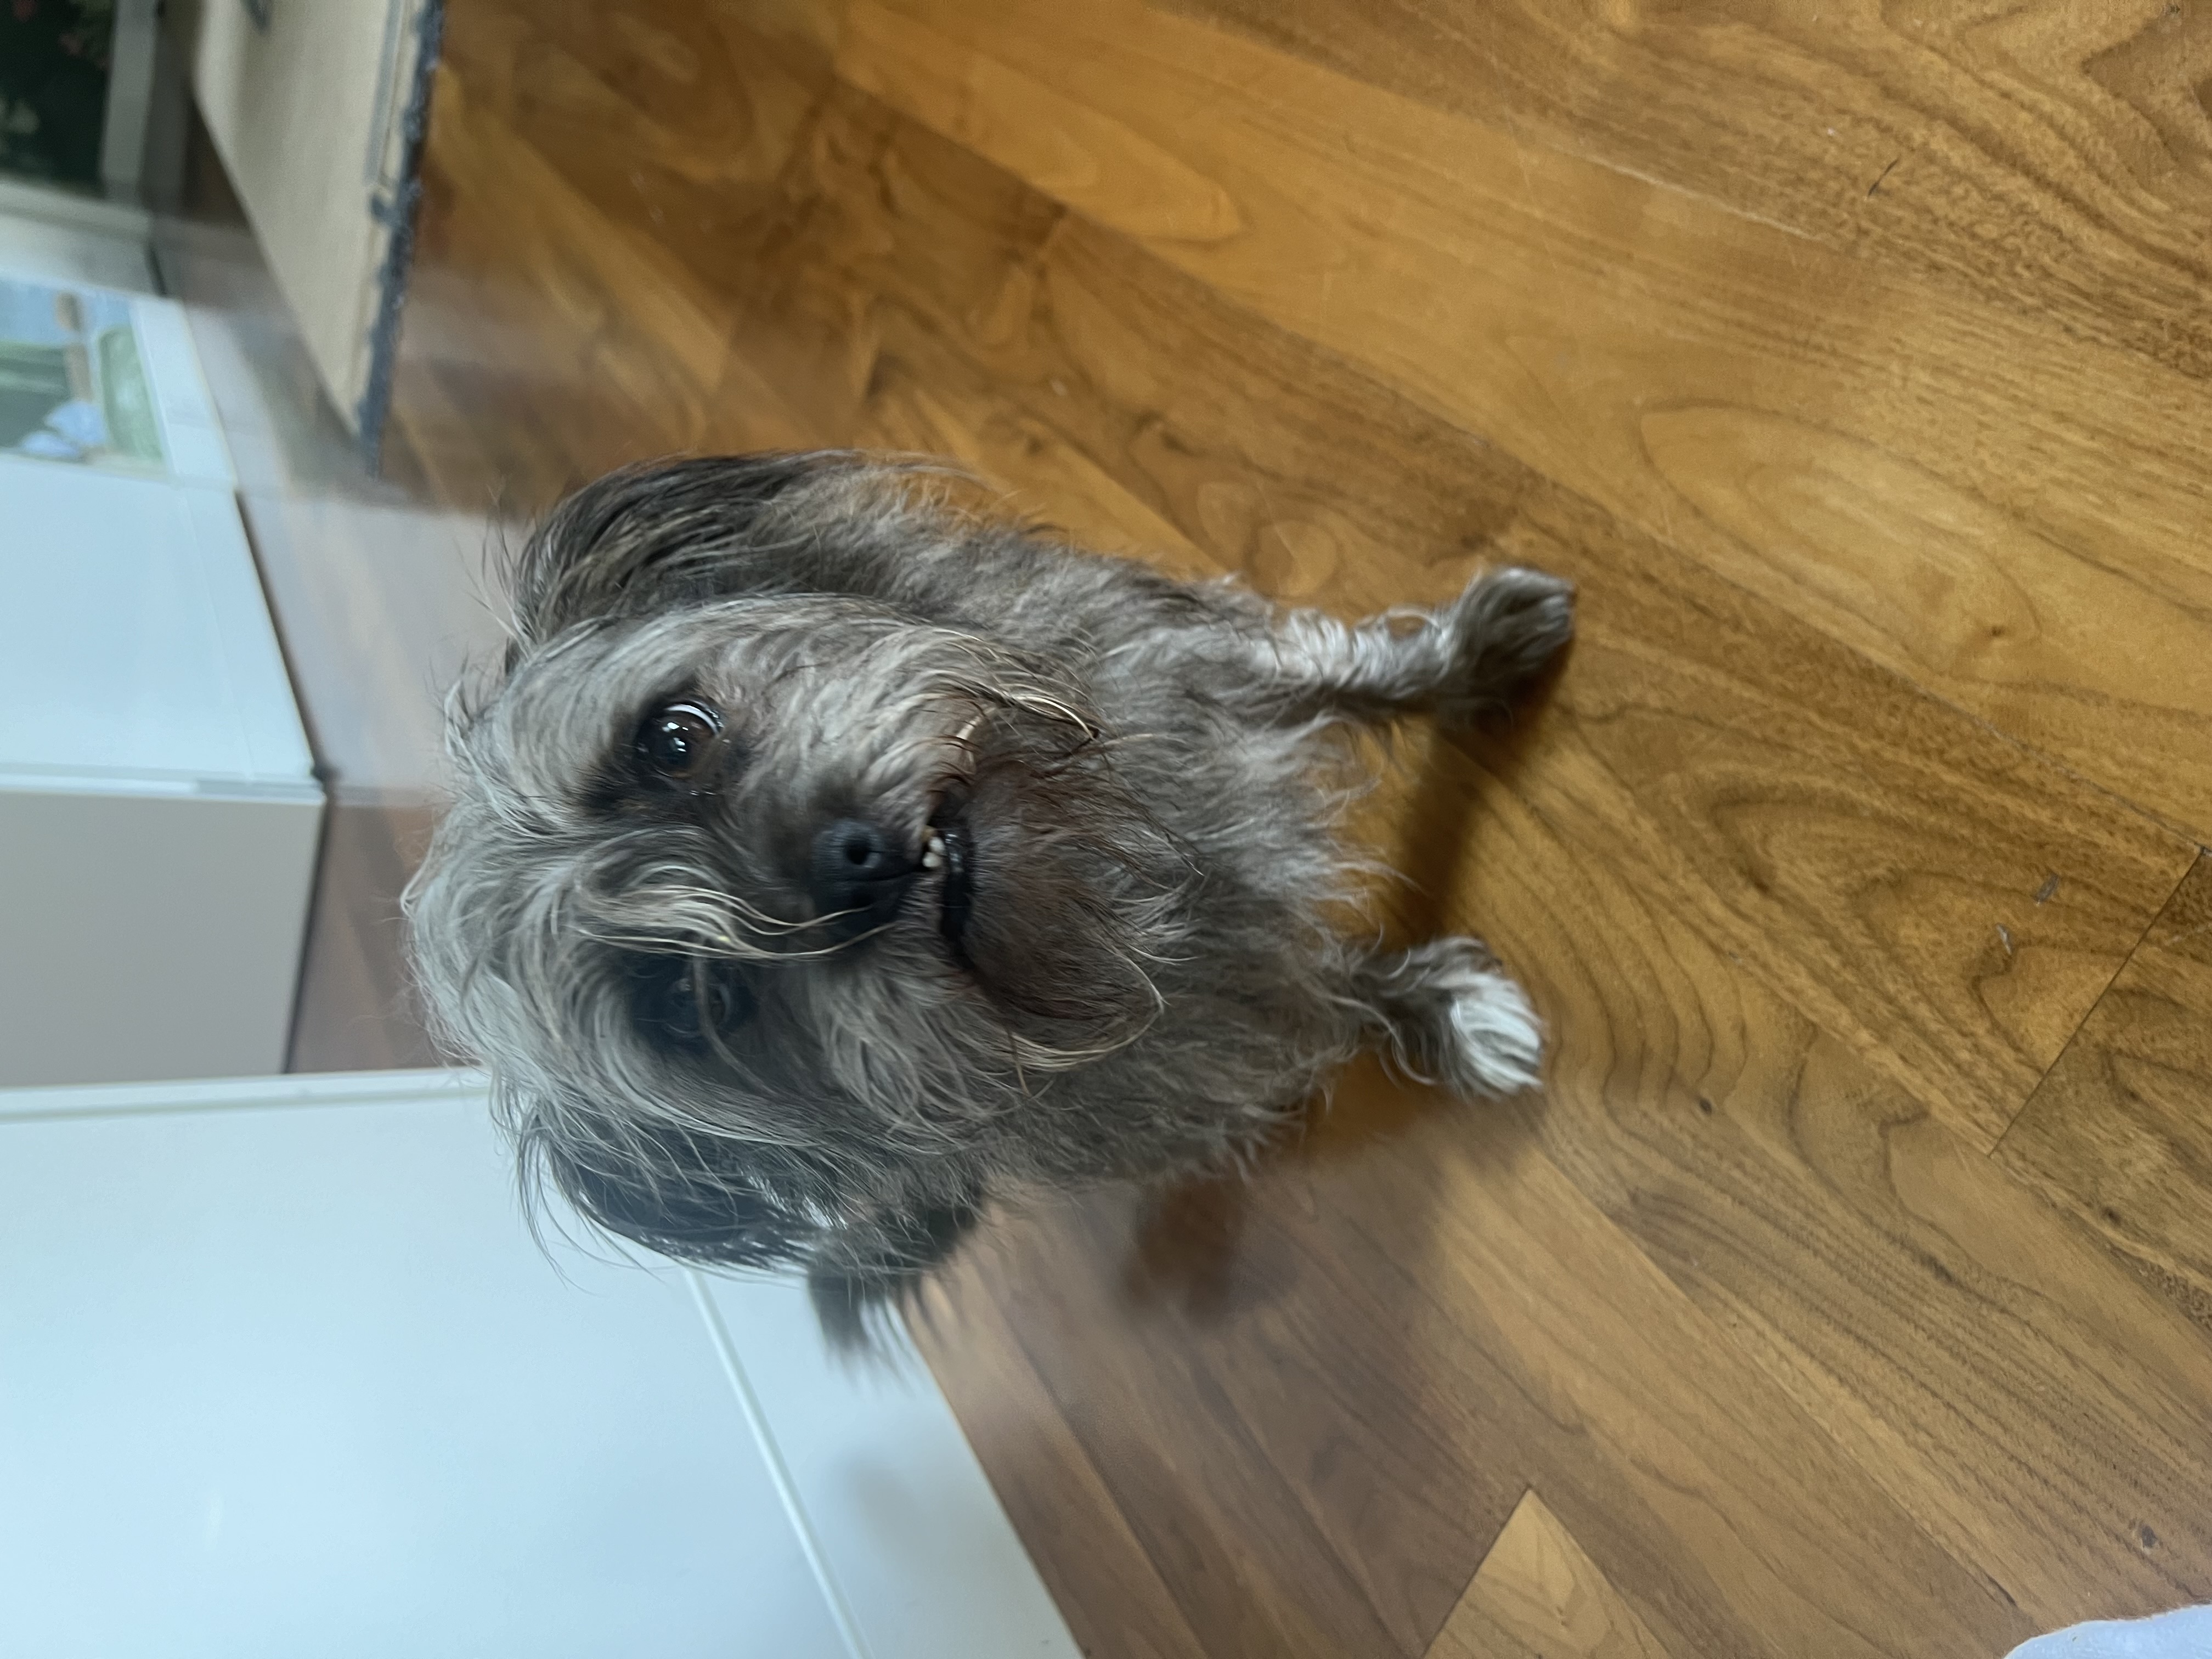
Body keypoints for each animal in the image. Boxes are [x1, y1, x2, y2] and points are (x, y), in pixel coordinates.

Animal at [405, 452, 1573, 1345]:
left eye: (672, 737)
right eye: (688, 1002)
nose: (852, 861)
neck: (1097, 881)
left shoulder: (1190, 658)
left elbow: (1338, 666)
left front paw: (1468, 655)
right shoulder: (1234, 1024)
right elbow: (1333, 991)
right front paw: (1445, 1012)